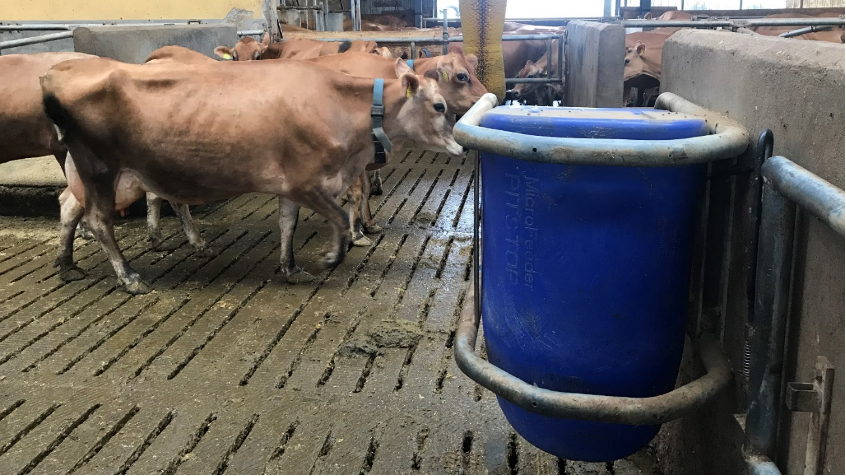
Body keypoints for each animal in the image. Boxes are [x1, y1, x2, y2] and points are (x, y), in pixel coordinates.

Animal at [40, 57, 463, 294]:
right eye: (439, 106)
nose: (460, 145)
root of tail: (57, 74)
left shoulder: (290, 185)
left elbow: (287, 224)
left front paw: (291, 268)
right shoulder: (307, 181)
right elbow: (341, 220)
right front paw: (330, 258)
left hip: (101, 175)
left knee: (68, 206)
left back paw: (67, 265)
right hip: (101, 169)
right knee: (98, 220)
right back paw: (129, 277)